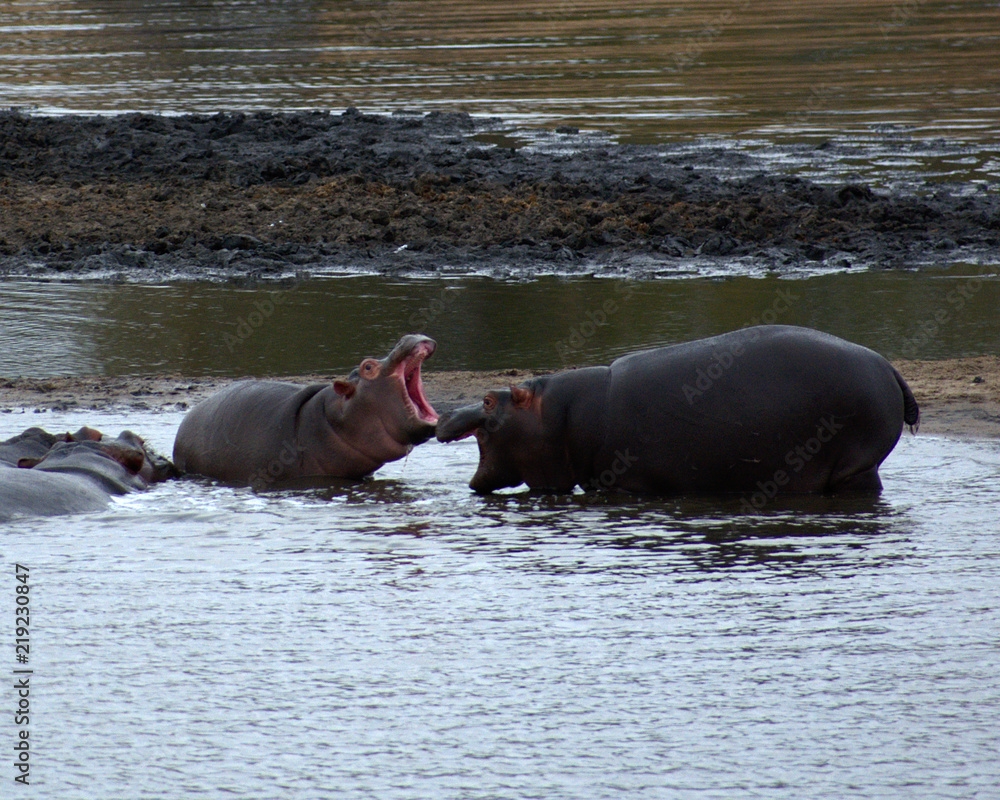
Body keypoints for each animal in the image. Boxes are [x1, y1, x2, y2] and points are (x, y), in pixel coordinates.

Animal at [437, 325, 919, 499]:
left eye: (487, 400)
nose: (444, 417)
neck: (560, 414)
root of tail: (888, 366)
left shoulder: (626, 484)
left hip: (856, 464)